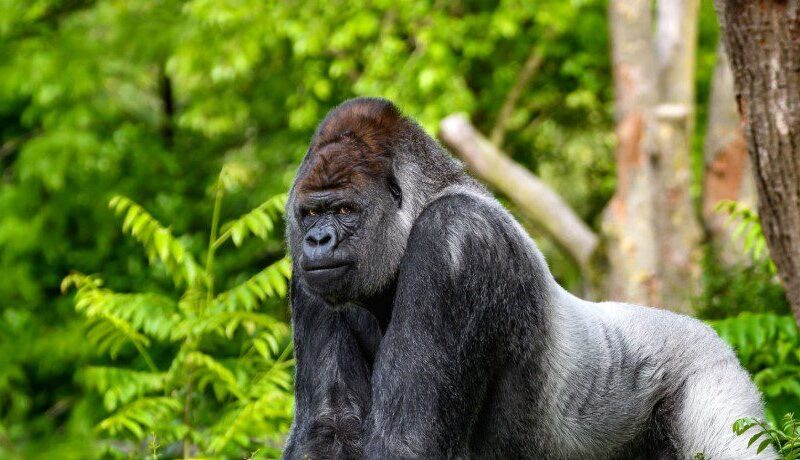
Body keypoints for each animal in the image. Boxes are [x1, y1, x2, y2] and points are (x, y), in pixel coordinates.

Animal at [282, 97, 773, 459]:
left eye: (345, 209)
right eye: (310, 214)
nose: (318, 240)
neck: (425, 202)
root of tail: (709, 333)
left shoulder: (455, 240)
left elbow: (408, 440)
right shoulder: (308, 279)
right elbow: (327, 427)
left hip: (713, 377)